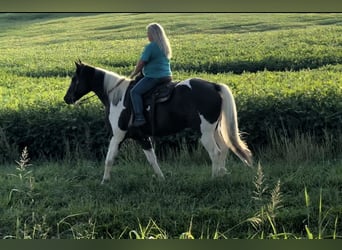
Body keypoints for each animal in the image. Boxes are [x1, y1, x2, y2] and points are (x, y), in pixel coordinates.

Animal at [63, 59, 251, 183]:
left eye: (74, 79)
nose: (66, 98)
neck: (116, 96)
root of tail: (213, 85)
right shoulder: (142, 137)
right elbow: (152, 159)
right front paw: (161, 179)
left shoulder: (117, 136)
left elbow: (109, 159)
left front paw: (105, 182)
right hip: (215, 129)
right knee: (225, 149)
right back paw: (222, 174)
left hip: (204, 132)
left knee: (215, 152)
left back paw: (213, 178)